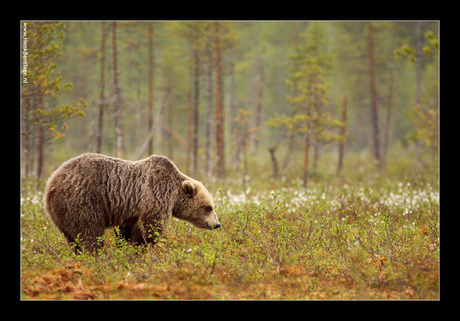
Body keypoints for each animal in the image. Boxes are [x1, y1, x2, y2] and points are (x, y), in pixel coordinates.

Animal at [44, 152, 221, 252]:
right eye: (208, 207)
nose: (217, 224)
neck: (174, 195)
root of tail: (51, 183)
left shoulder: (129, 210)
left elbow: (127, 230)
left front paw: (127, 248)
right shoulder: (155, 192)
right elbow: (151, 225)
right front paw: (142, 247)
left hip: (62, 213)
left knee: (73, 238)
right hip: (83, 201)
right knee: (90, 232)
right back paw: (98, 255)